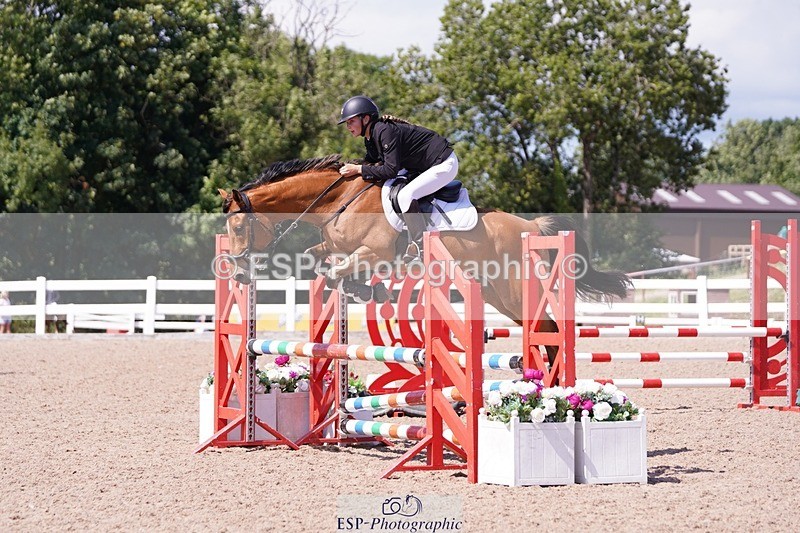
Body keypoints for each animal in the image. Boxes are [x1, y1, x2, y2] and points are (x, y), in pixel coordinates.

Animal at [219, 155, 630, 362]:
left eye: (238, 226)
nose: (238, 275)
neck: (339, 200)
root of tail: (529, 225)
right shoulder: (340, 250)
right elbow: (321, 260)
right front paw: (364, 291)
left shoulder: (376, 252)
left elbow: (340, 268)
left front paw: (362, 289)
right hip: (498, 296)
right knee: (544, 331)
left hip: (513, 292)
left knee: (548, 331)